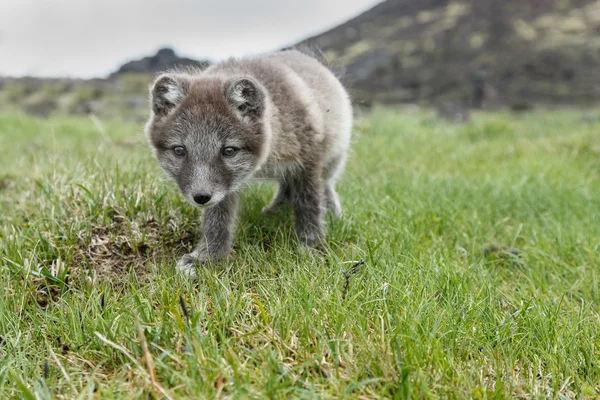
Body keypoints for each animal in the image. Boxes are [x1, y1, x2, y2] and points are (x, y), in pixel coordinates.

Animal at [145, 48, 352, 276]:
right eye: (179, 150)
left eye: (228, 150)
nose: (201, 197)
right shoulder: (224, 189)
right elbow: (217, 221)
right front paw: (207, 258)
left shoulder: (309, 162)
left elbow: (310, 206)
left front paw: (312, 247)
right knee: (287, 188)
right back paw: (273, 213)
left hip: (333, 158)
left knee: (325, 185)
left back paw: (332, 215)